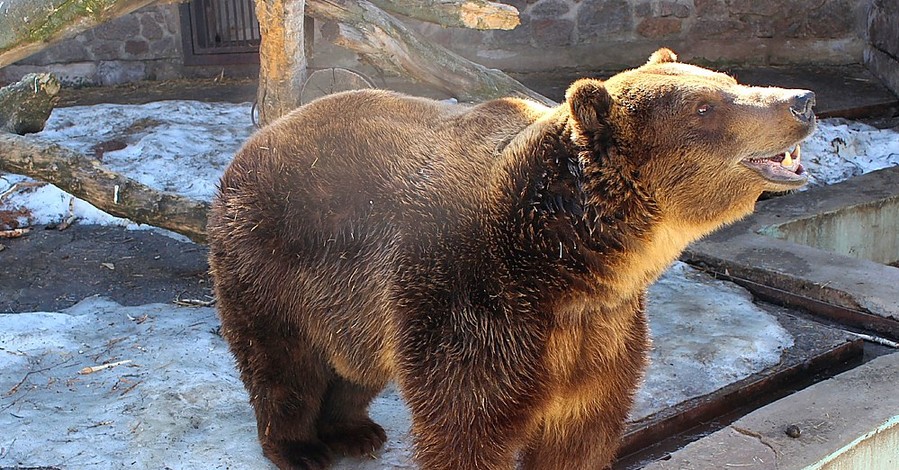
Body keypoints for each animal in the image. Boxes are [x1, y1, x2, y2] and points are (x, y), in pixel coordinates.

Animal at [206, 48, 816, 470]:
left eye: (728, 82)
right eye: (704, 107)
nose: (801, 101)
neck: (569, 265)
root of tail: (254, 141)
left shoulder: (599, 331)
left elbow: (583, 430)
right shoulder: (473, 306)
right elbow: (469, 425)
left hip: (353, 303)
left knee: (356, 366)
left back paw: (356, 431)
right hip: (270, 255)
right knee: (281, 363)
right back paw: (300, 446)